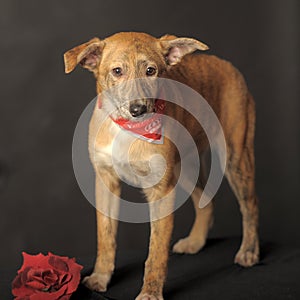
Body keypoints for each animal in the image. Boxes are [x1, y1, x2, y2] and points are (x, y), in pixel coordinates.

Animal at [63, 32, 260, 300]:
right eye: (117, 71)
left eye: (151, 71)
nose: (138, 109)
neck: (128, 129)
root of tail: (226, 64)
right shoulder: (105, 181)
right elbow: (105, 236)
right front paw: (100, 277)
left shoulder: (161, 190)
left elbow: (156, 249)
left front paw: (151, 292)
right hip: (186, 168)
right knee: (206, 201)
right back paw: (196, 241)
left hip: (235, 154)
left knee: (250, 204)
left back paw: (249, 250)